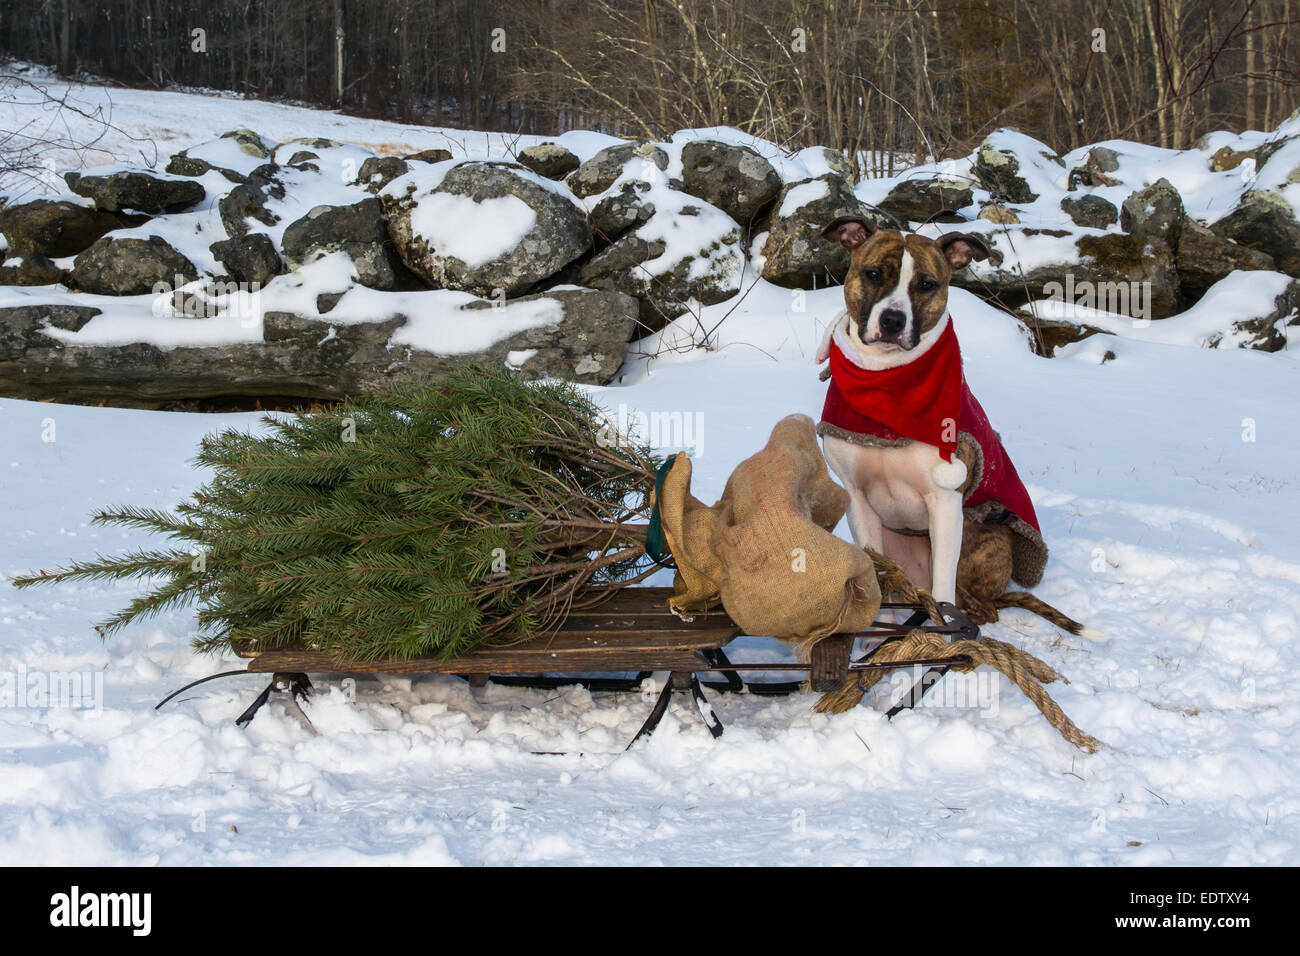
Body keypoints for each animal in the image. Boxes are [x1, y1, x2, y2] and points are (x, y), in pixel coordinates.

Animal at [816, 217, 1102, 642]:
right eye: (873, 274)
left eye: (926, 284)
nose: (892, 320)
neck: (887, 385)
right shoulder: (859, 499)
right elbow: (876, 579)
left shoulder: (945, 502)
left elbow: (942, 594)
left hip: (975, 541)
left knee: (977, 606)